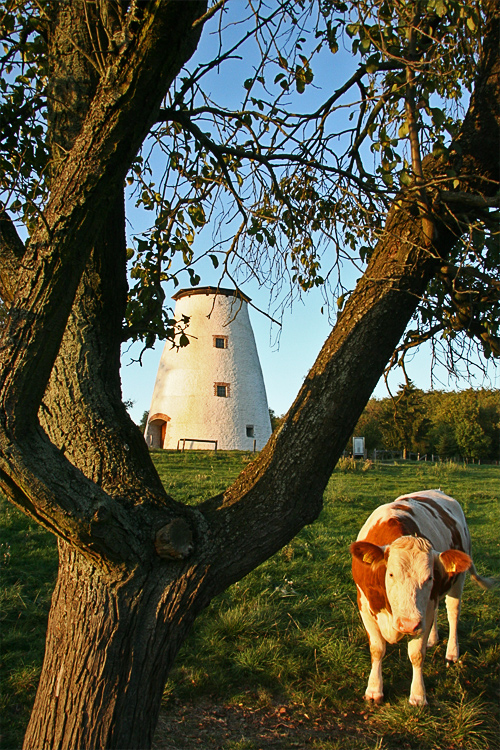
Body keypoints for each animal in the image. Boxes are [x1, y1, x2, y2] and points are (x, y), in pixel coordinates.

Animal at [352, 490, 492, 708]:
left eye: (429, 578)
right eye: (390, 574)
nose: (408, 624)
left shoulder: (422, 613)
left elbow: (416, 654)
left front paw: (418, 696)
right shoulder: (364, 604)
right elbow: (377, 649)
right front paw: (374, 690)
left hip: (457, 581)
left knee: (453, 613)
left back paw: (452, 652)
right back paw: (433, 639)